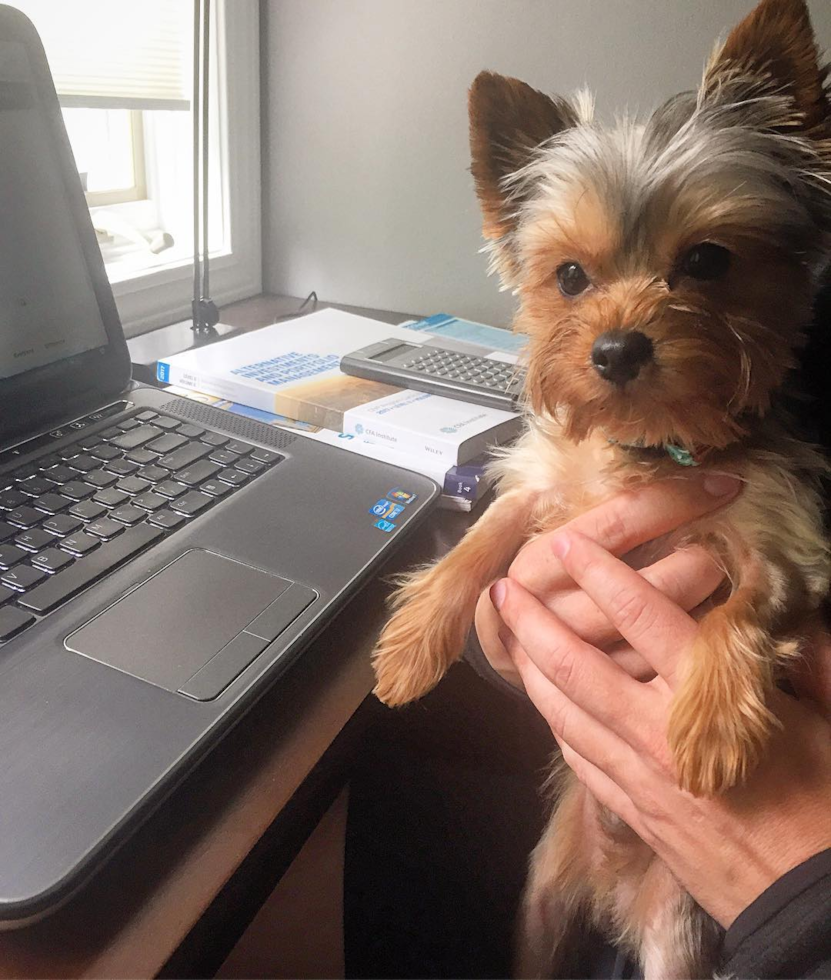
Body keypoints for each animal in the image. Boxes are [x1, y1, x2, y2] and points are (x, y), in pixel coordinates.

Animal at [370, 0, 831, 976]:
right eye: (570, 276)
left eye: (707, 261)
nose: (616, 350)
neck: (649, 444)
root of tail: (610, 896)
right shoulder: (536, 489)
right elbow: (477, 544)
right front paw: (412, 644)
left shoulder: (782, 542)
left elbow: (748, 606)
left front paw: (708, 728)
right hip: (541, 901)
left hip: (673, 939)